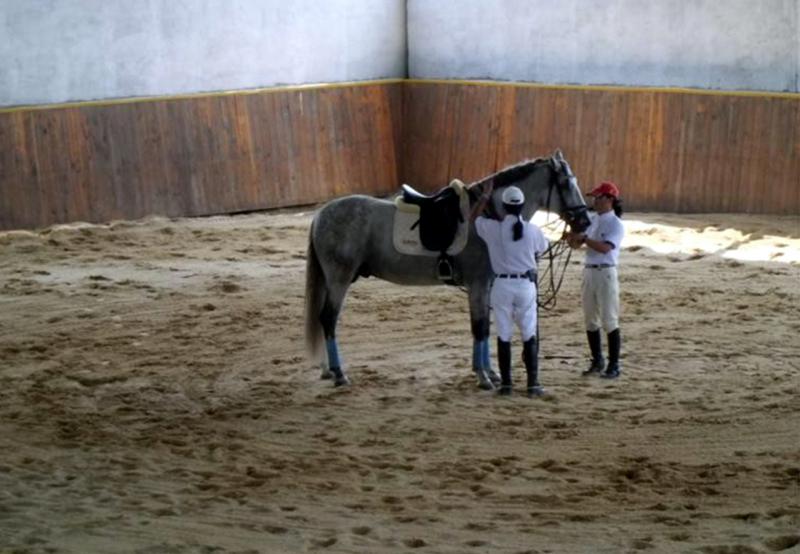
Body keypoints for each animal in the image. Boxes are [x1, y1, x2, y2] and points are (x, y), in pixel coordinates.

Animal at [304, 149, 592, 386]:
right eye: (566, 183)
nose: (585, 222)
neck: (488, 215)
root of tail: (321, 215)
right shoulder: (478, 284)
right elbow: (479, 327)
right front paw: (484, 377)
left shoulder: (486, 285)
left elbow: (484, 326)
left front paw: (489, 373)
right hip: (339, 278)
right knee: (328, 319)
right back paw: (339, 373)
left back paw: (328, 370)